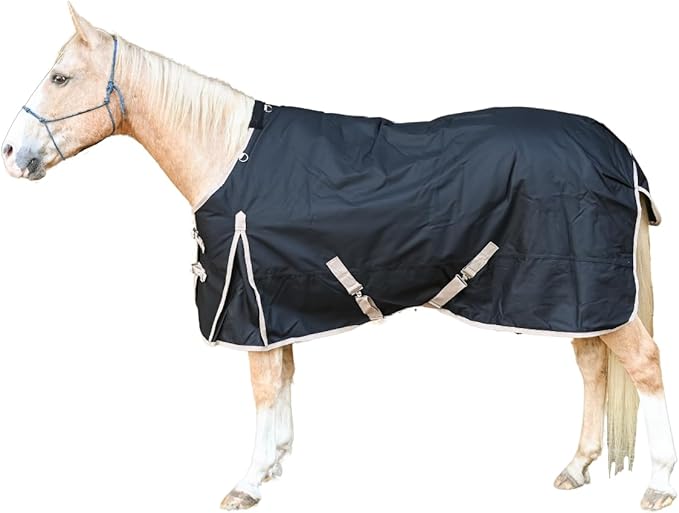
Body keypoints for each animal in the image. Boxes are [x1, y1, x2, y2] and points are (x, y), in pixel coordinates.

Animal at [2, 5, 675, 511]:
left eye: (59, 77)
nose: (13, 152)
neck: (228, 154)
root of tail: (620, 153)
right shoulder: (276, 300)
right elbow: (284, 376)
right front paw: (274, 463)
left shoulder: (251, 297)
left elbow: (264, 387)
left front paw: (247, 482)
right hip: (574, 297)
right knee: (591, 366)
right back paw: (577, 466)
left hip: (596, 295)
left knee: (644, 364)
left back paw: (658, 485)